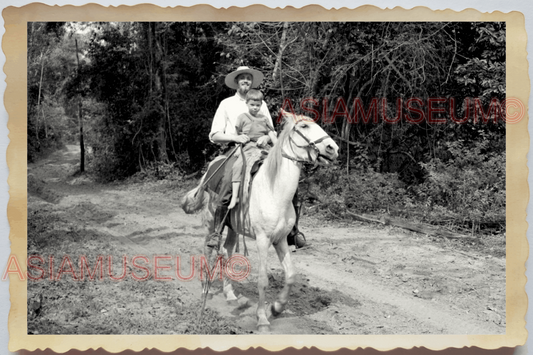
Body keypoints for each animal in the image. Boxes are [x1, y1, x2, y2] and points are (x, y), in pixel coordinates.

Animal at [180, 110, 336, 332]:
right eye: (304, 127)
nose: (333, 148)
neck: (273, 191)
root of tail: (211, 168)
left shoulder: (280, 239)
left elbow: (290, 275)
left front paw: (276, 308)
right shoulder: (263, 240)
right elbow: (262, 280)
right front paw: (262, 318)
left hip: (233, 227)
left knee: (226, 251)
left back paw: (231, 294)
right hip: (212, 222)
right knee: (208, 249)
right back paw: (204, 287)